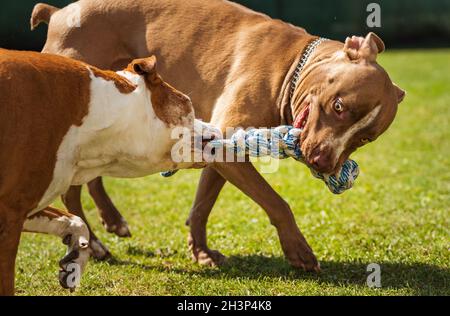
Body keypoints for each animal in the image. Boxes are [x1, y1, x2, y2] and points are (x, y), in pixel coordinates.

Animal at [0, 48, 219, 294]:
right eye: (188, 104)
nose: (218, 129)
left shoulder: (24, 204)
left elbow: (75, 221)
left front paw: (76, 258)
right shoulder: (9, 215)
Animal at [31, 0, 404, 272]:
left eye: (364, 139)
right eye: (339, 106)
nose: (324, 164)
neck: (293, 64)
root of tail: (59, 12)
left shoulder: (220, 147)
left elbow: (202, 205)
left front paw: (201, 252)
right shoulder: (228, 145)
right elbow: (277, 203)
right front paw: (298, 250)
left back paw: (112, 220)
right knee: (71, 192)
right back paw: (92, 243)